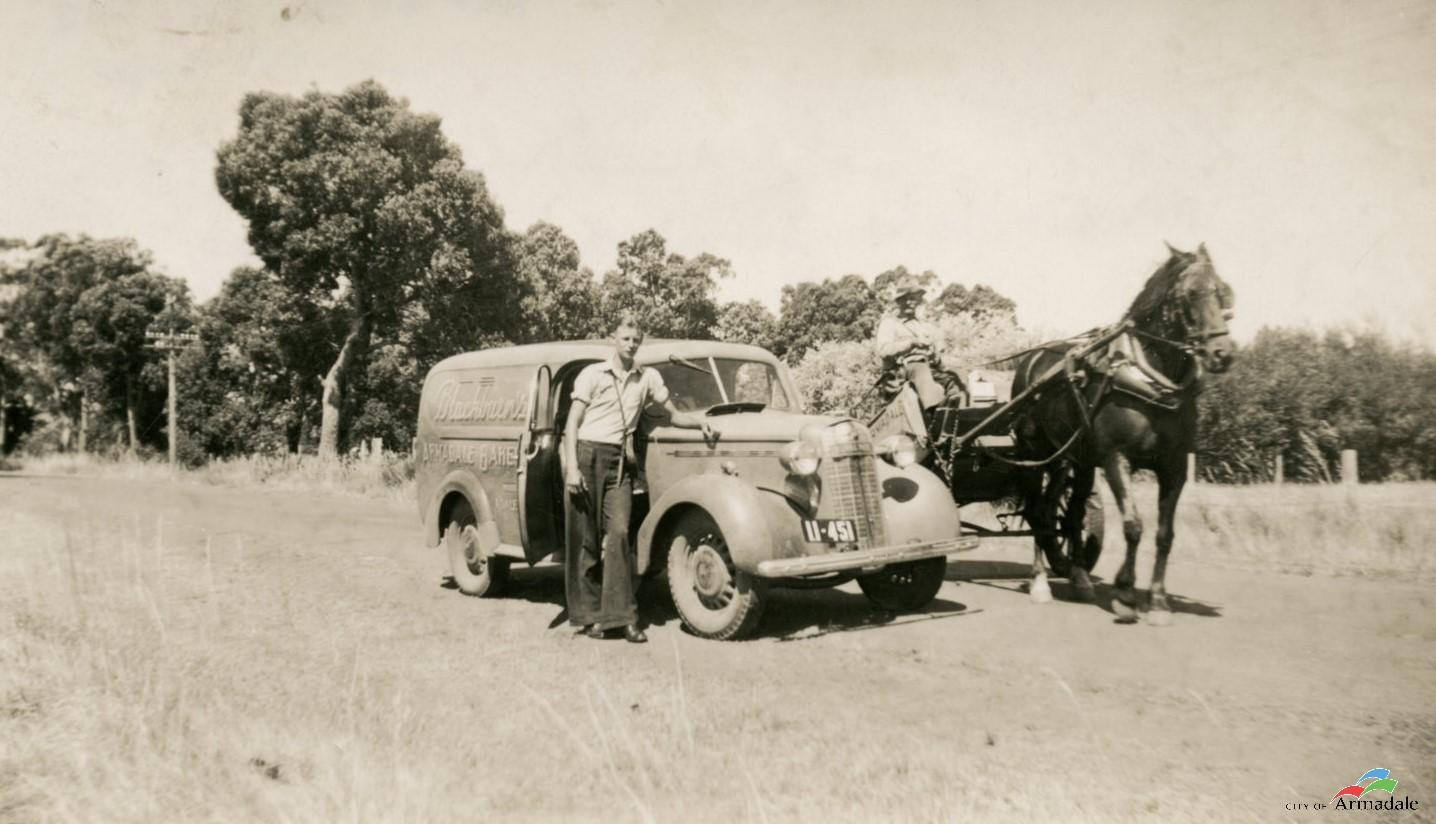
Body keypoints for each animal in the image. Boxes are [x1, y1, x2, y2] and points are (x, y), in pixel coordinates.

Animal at [1010, 244, 1234, 625]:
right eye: (1191, 294)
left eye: (1223, 292)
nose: (1223, 354)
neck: (1148, 379)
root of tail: (1031, 361)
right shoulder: (1117, 459)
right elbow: (1133, 525)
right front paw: (1126, 595)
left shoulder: (1174, 465)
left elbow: (1164, 534)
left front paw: (1158, 602)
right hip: (1034, 455)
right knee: (1038, 512)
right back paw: (1039, 582)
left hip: (1074, 460)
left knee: (1069, 514)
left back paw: (1080, 578)